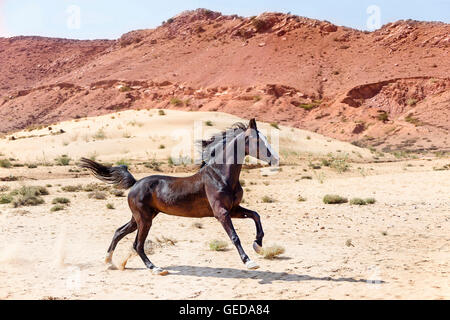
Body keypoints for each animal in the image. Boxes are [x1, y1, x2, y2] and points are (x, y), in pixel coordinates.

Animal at [79, 119, 280, 274]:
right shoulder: (221, 213)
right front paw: (249, 262)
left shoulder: (233, 209)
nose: (275, 159)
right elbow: (234, 236)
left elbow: (255, 215)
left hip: (141, 217)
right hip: (144, 219)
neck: (220, 175)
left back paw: (109, 262)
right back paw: (155, 268)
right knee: (138, 244)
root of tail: (135, 183)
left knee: (119, 232)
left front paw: (258, 245)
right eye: (257, 140)